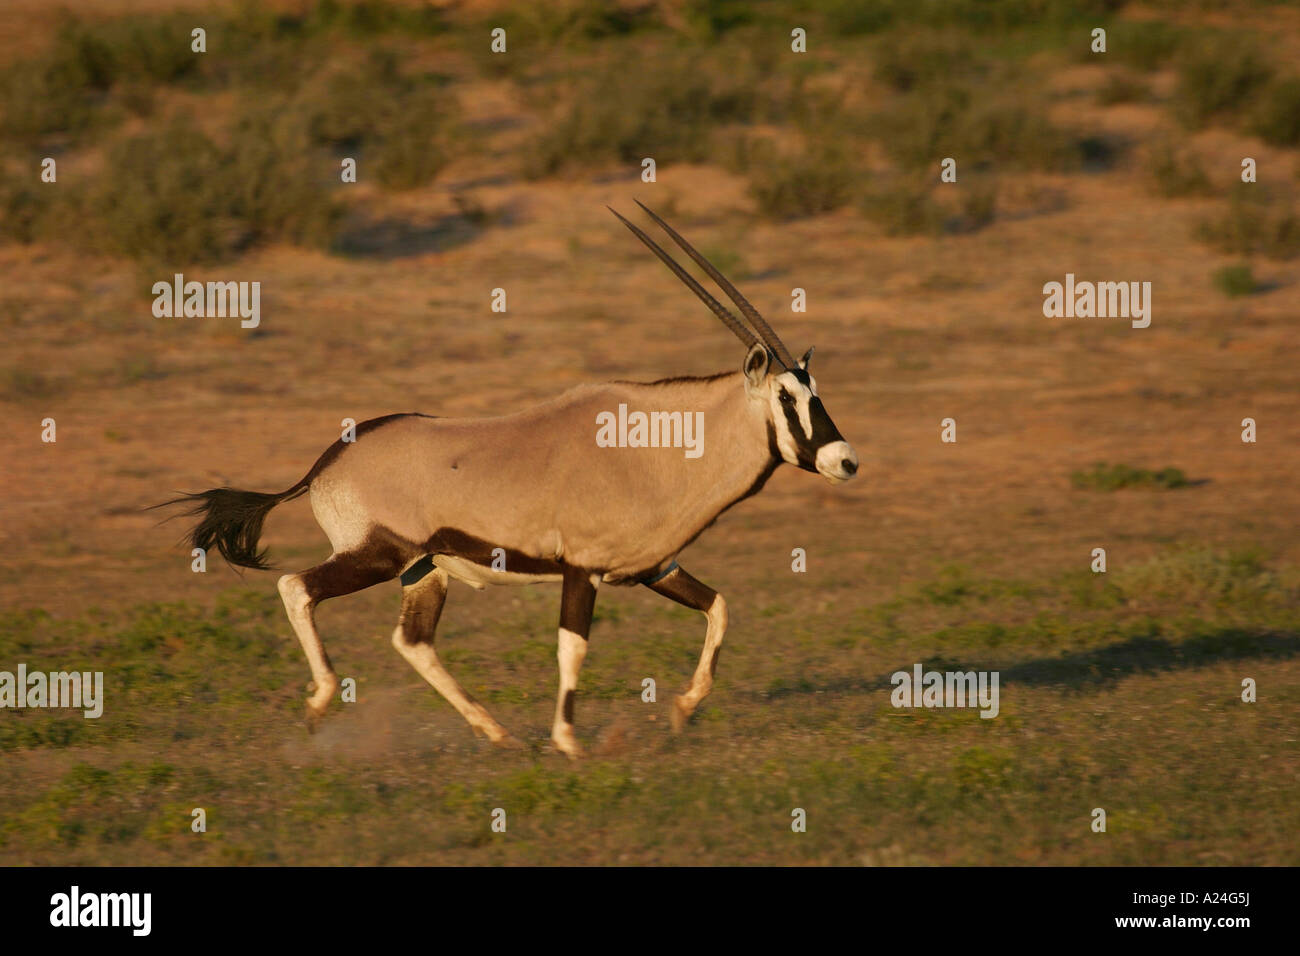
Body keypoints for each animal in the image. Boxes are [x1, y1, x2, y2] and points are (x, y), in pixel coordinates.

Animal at [167, 204, 857, 764]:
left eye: (816, 391)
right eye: (788, 396)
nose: (846, 461)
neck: (652, 447)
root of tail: (325, 464)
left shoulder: (653, 567)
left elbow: (719, 607)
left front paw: (683, 709)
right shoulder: (582, 569)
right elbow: (572, 648)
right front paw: (570, 741)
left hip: (425, 570)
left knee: (412, 641)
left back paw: (495, 733)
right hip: (379, 554)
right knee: (296, 587)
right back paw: (321, 700)